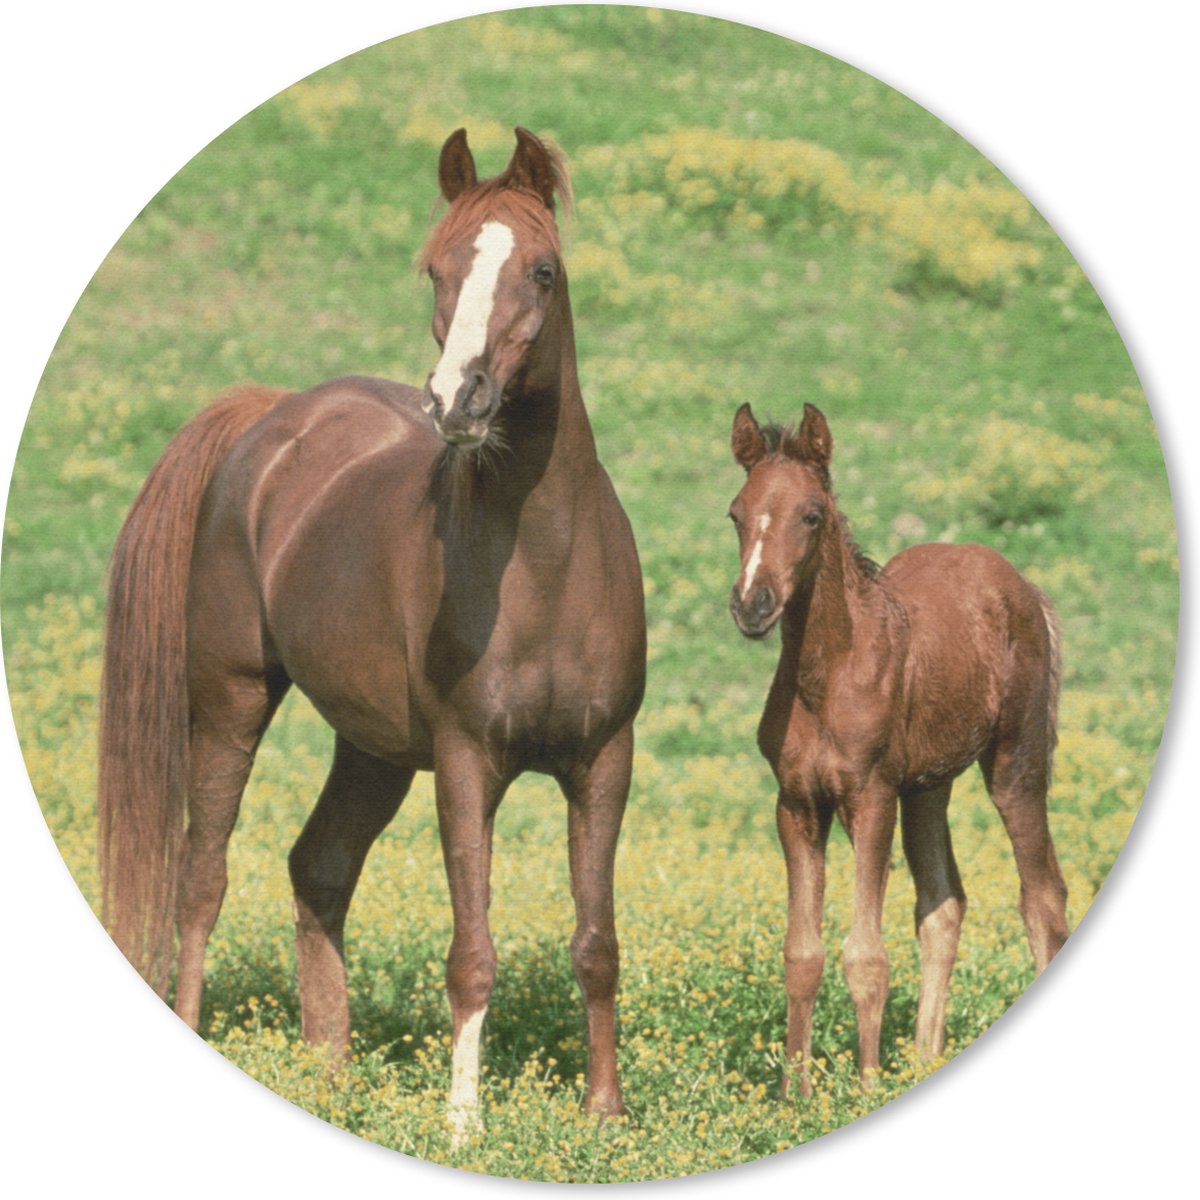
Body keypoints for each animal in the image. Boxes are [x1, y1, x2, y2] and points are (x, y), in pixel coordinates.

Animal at [97, 127, 646, 1138]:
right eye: (436, 268)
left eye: (543, 271)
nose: (458, 402)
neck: (546, 566)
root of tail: (272, 416)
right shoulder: (468, 763)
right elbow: (473, 950)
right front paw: (464, 1123)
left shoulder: (603, 761)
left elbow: (597, 942)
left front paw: (606, 1118)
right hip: (230, 698)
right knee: (203, 877)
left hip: (375, 748)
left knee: (318, 868)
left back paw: (331, 1074)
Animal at [726, 401, 1068, 1096]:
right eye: (736, 514)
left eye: (812, 515)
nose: (752, 605)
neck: (827, 677)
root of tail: (1023, 586)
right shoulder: (796, 804)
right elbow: (802, 952)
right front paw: (794, 1098)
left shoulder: (871, 797)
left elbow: (866, 956)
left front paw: (863, 1090)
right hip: (928, 785)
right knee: (943, 906)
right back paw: (924, 1063)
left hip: (1013, 765)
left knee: (1043, 898)